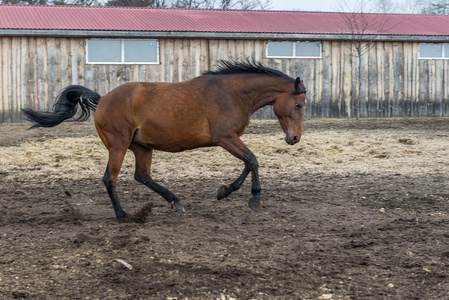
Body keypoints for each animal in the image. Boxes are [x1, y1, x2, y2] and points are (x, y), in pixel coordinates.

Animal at [22, 61, 306, 219]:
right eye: (299, 104)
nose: (294, 138)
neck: (232, 94)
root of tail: (103, 99)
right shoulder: (225, 137)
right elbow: (253, 161)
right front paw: (254, 199)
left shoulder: (230, 139)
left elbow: (248, 163)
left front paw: (224, 191)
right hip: (119, 145)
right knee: (110, 179)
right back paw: (123, 215)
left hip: (141, 147)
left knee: (142, 176)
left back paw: (175, 202)